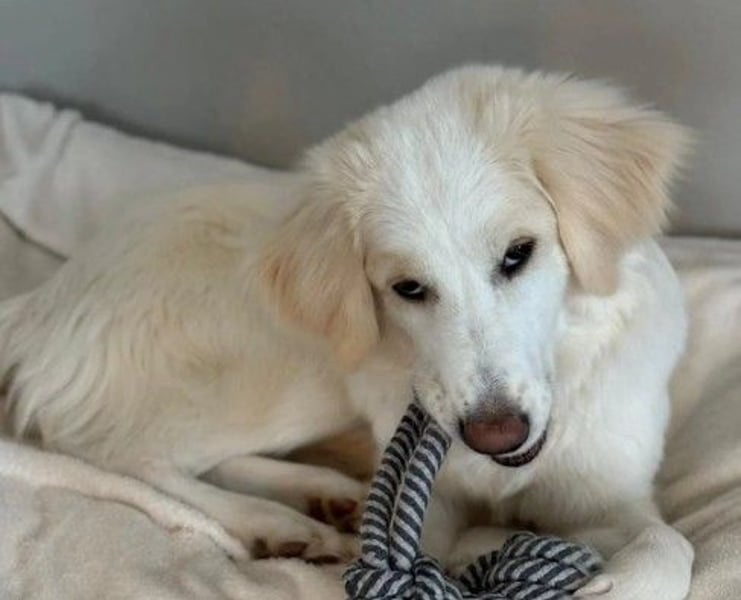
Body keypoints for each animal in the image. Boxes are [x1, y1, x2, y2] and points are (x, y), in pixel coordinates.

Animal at [0, 65, 693, 597]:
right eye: (407, 288)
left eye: (518, 253)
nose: (494, 433)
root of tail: (44, 299)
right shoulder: (432, 510)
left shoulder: (611, 492)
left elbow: (670, 538)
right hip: (298, 372)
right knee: (123, 453)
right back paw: (271, 520)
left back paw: (320, 497)